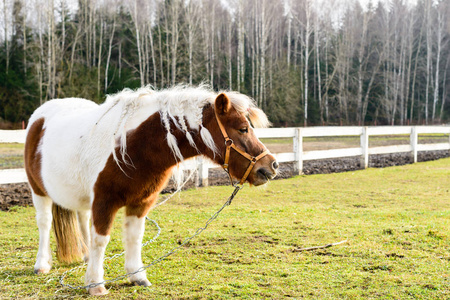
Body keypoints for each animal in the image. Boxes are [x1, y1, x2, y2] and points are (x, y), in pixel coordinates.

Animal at [24, 84, 280, 296]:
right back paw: (42, 264)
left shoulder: (141, 202)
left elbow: (134, 237)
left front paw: (137, 276)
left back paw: (86, 258)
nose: (271, 166)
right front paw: (96, 284)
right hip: (39, 192)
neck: (133, 146)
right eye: (243, 129)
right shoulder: (104, 202)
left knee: (82, 221)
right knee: (45, 224)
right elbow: (101, 240)